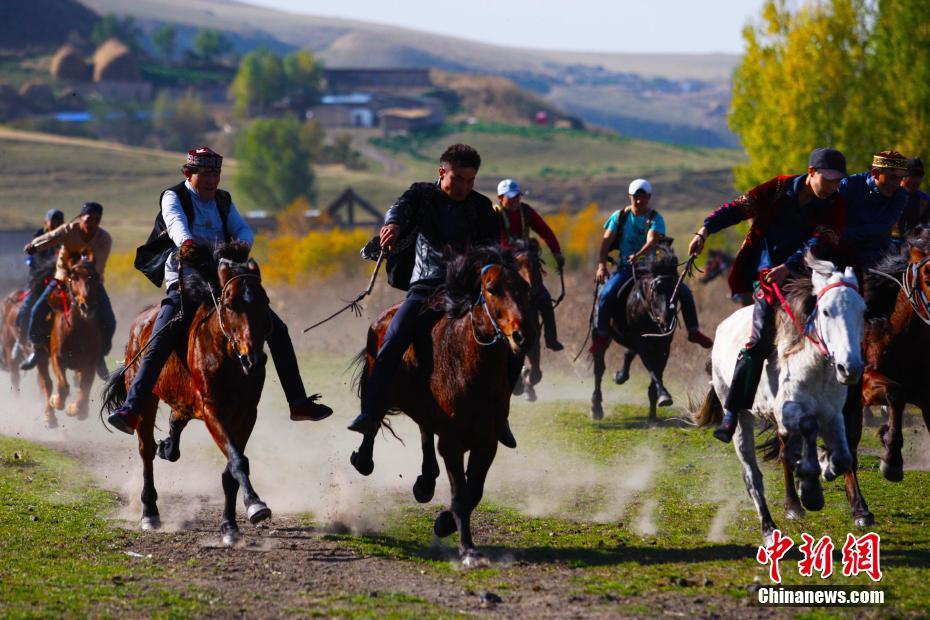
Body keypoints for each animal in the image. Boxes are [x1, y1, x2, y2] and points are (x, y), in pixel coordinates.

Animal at [36, 259, 103, 428]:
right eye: (74, 278)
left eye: (95, 277)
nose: (88, 305)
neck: (76, 331)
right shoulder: (57, 358)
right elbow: (63, 386)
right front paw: (56, 401)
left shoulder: (90, 363)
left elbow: (85, 388)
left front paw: (77, 410)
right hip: (40, 355)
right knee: (46, 382)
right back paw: (49, 416)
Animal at [101, 242, 272, 545]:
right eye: (230, 304)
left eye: (264, 302)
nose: (253, 360)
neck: (227, 357)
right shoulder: (212, 410)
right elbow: (238, 461)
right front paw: (255, 504)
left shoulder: (246, 414)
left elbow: (232, 467)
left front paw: (230, 526)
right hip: (146, 399)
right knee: (146, 451)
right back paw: (150, 512)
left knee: (175, 423)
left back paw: (168, 447)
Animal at [350, 245, 532, 564]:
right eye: (492, 288)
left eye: (524, 287)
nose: (520, 335)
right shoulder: (452, 443)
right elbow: (461, 495)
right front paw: (468, 549)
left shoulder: (487, 443)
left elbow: (474, 492)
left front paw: (445, 522)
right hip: (380, 381)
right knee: (373, 421)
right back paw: (364, 459)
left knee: (424, 431)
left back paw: (425, 482)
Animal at [591, 246, 680, 422]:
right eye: (656, 289)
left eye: (676, 287)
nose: (667, 320)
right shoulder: (642, 344)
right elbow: (652, 369)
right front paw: (664, 396)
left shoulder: (664, 345)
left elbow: (657, 371)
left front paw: (653, 414)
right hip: (599, 334)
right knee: (599, 368)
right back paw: (596, 407)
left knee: (628, 354)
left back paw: (620, 376)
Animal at [695, 254, 865, 546]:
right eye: (826, 311)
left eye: (862, 310)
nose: (849, 368)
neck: (812, 366)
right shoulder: (789, 411)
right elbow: (807, 426)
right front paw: (810, 489)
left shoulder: (833, 415)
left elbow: (843, 457)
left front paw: (825, 471)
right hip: (741, 420)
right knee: (753, 476)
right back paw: (769, 528)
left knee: (788, 450)